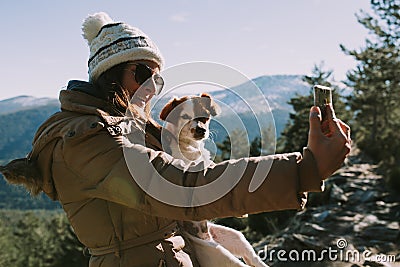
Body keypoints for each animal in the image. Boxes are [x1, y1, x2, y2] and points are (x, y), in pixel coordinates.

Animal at [159, 93, 266, 267]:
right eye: (185, 117)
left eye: (205, 116)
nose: (201, 130)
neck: (191, 147)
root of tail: (209, 238)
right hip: (221, 256)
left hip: (237, 238)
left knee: (253, 258)